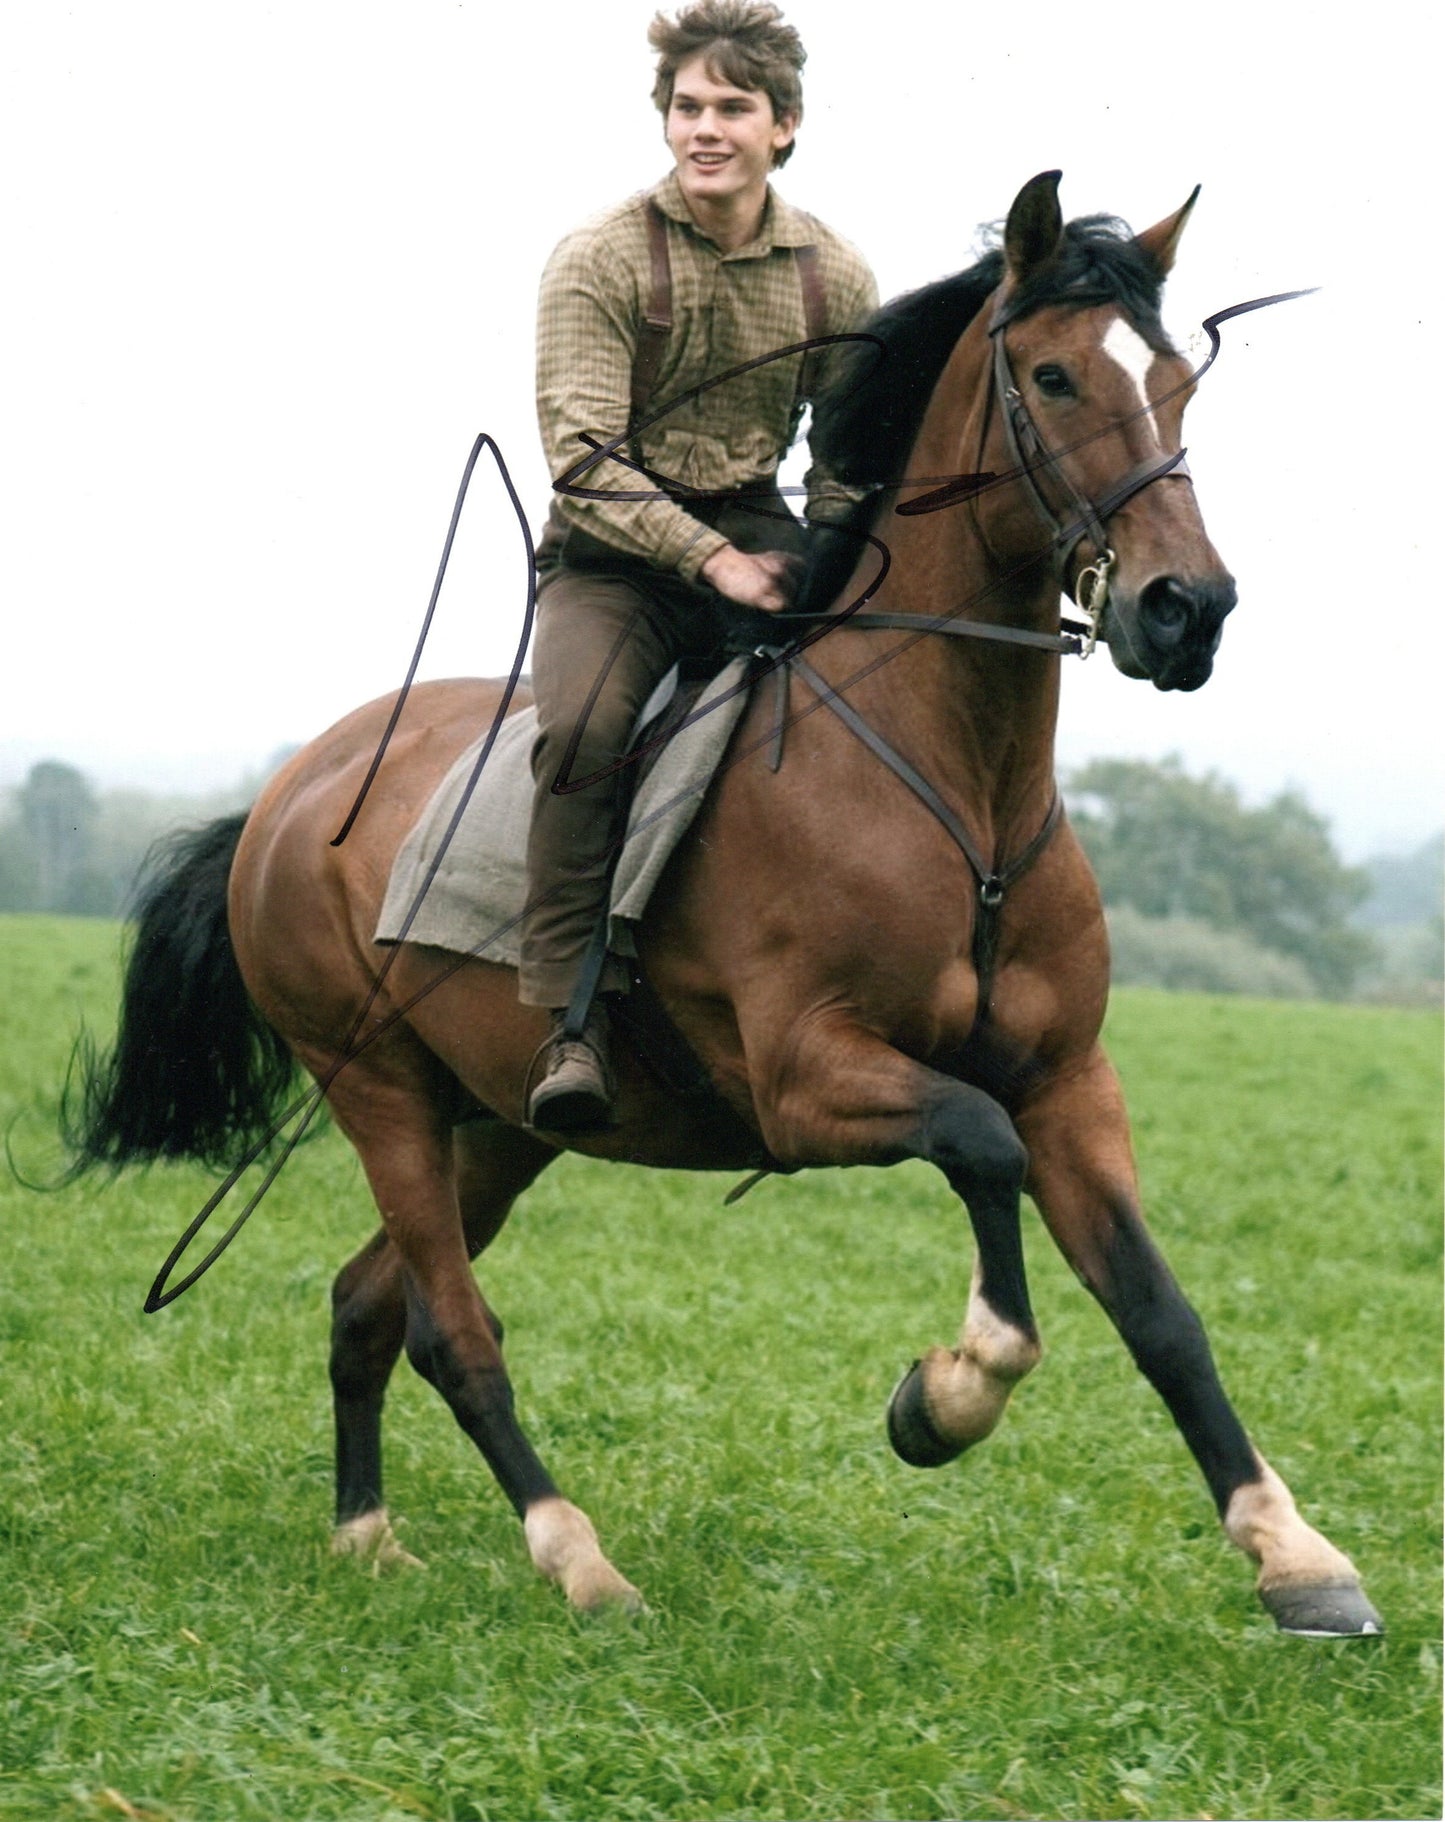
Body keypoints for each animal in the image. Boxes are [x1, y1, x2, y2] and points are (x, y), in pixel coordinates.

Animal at [63, 172, 1381, 1635]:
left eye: (1175, 383)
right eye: (1050, 375)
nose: (1184, 611)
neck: (954, 789)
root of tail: (288, 793)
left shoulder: (1068, 1079)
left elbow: (1159, 1309)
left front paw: (1296, 1557)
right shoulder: (810, 1079)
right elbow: (980, 1150)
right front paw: (946, 1395)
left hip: (503, 1123)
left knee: (366, 1303)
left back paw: (367, 1536)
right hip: (383, 1098)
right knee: (449, 1331)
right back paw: (577, 1559)